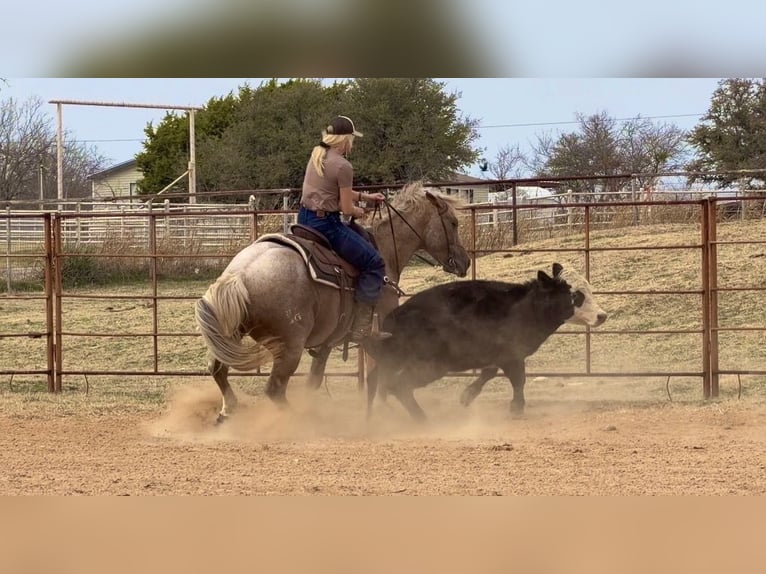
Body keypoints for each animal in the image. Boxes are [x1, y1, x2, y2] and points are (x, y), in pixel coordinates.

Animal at [195, 182, 471, 423]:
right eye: (454, 223)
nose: (465, 262)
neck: (384, 252)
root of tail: (239, 275)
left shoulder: (327, 341)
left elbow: (315, 381)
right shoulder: (380, 333)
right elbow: (380, 375)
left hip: (232, 334)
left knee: (217, 368)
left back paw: (228, 411)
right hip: (289, 347)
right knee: (274, 389)